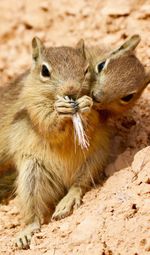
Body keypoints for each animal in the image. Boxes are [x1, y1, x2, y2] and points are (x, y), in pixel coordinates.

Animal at [0, 36, 109, 248]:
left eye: (86, 69)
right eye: (44, 71)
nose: (71, 90)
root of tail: (63, 181)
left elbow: (91, 121)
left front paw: (85, 105)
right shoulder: (34, 108)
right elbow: (48, 125)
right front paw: (60, 110)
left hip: (93, 160)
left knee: (78, 185)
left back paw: (66, 202)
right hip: (31, 174)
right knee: (34, 211)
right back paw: (27, 232)